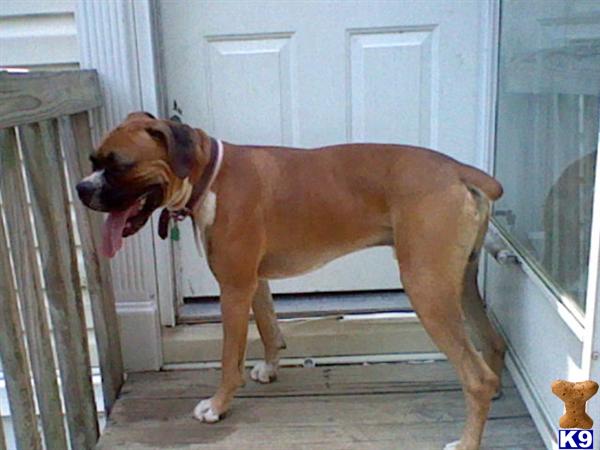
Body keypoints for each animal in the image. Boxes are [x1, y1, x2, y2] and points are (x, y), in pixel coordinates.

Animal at [76, 112, 507, 450]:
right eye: (94, 160)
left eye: (118, 165)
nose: (81, 188)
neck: (209, 176)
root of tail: (458, 169)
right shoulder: (254, 281)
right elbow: (269, 328)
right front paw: (269, 369)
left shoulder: (233, 288)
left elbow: (229, 356)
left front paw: (217, 406)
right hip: (460, 284)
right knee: (493, 343)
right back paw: (496, 392)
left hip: (427, 287)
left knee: (475, 377)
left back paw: (467, 440)